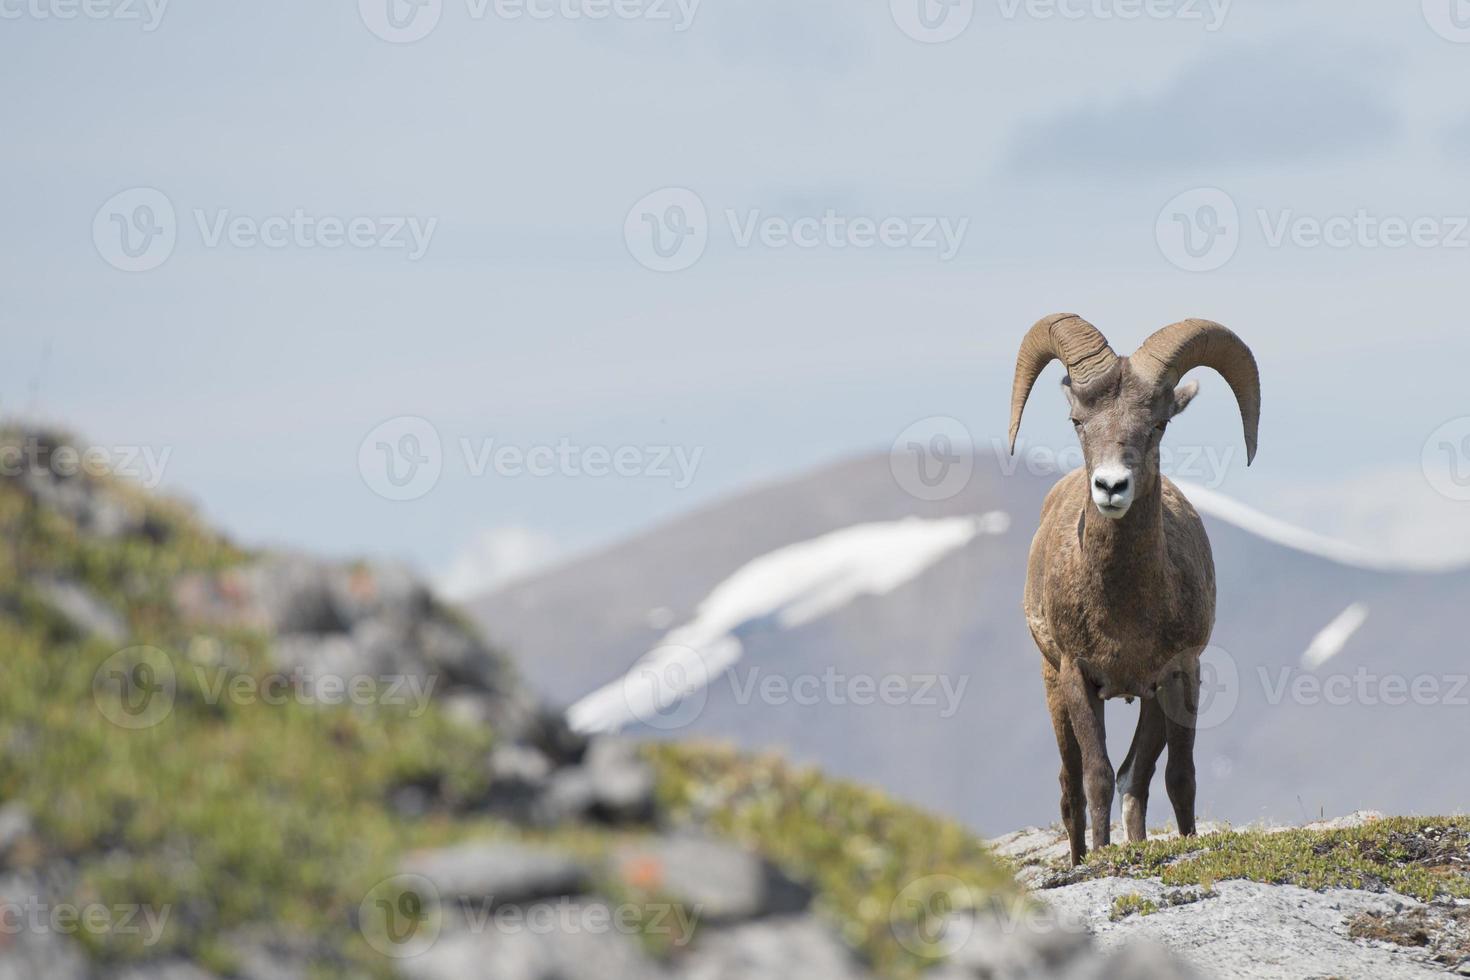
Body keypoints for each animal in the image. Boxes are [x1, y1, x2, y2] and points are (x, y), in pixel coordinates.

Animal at [1011, 315, 1264, 863]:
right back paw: (1081, 857)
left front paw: (1187, 845)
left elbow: (1178, 778)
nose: (1111, 487)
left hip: (1148, 700)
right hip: (1053, 688)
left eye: (1158, 425)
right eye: (1078, 422)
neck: (1124, 611)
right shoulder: (1077, 676)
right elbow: (1097, 777)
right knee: (1071, 786)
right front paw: (1100, 859)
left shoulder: (1180, 675)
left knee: (1137, 778)